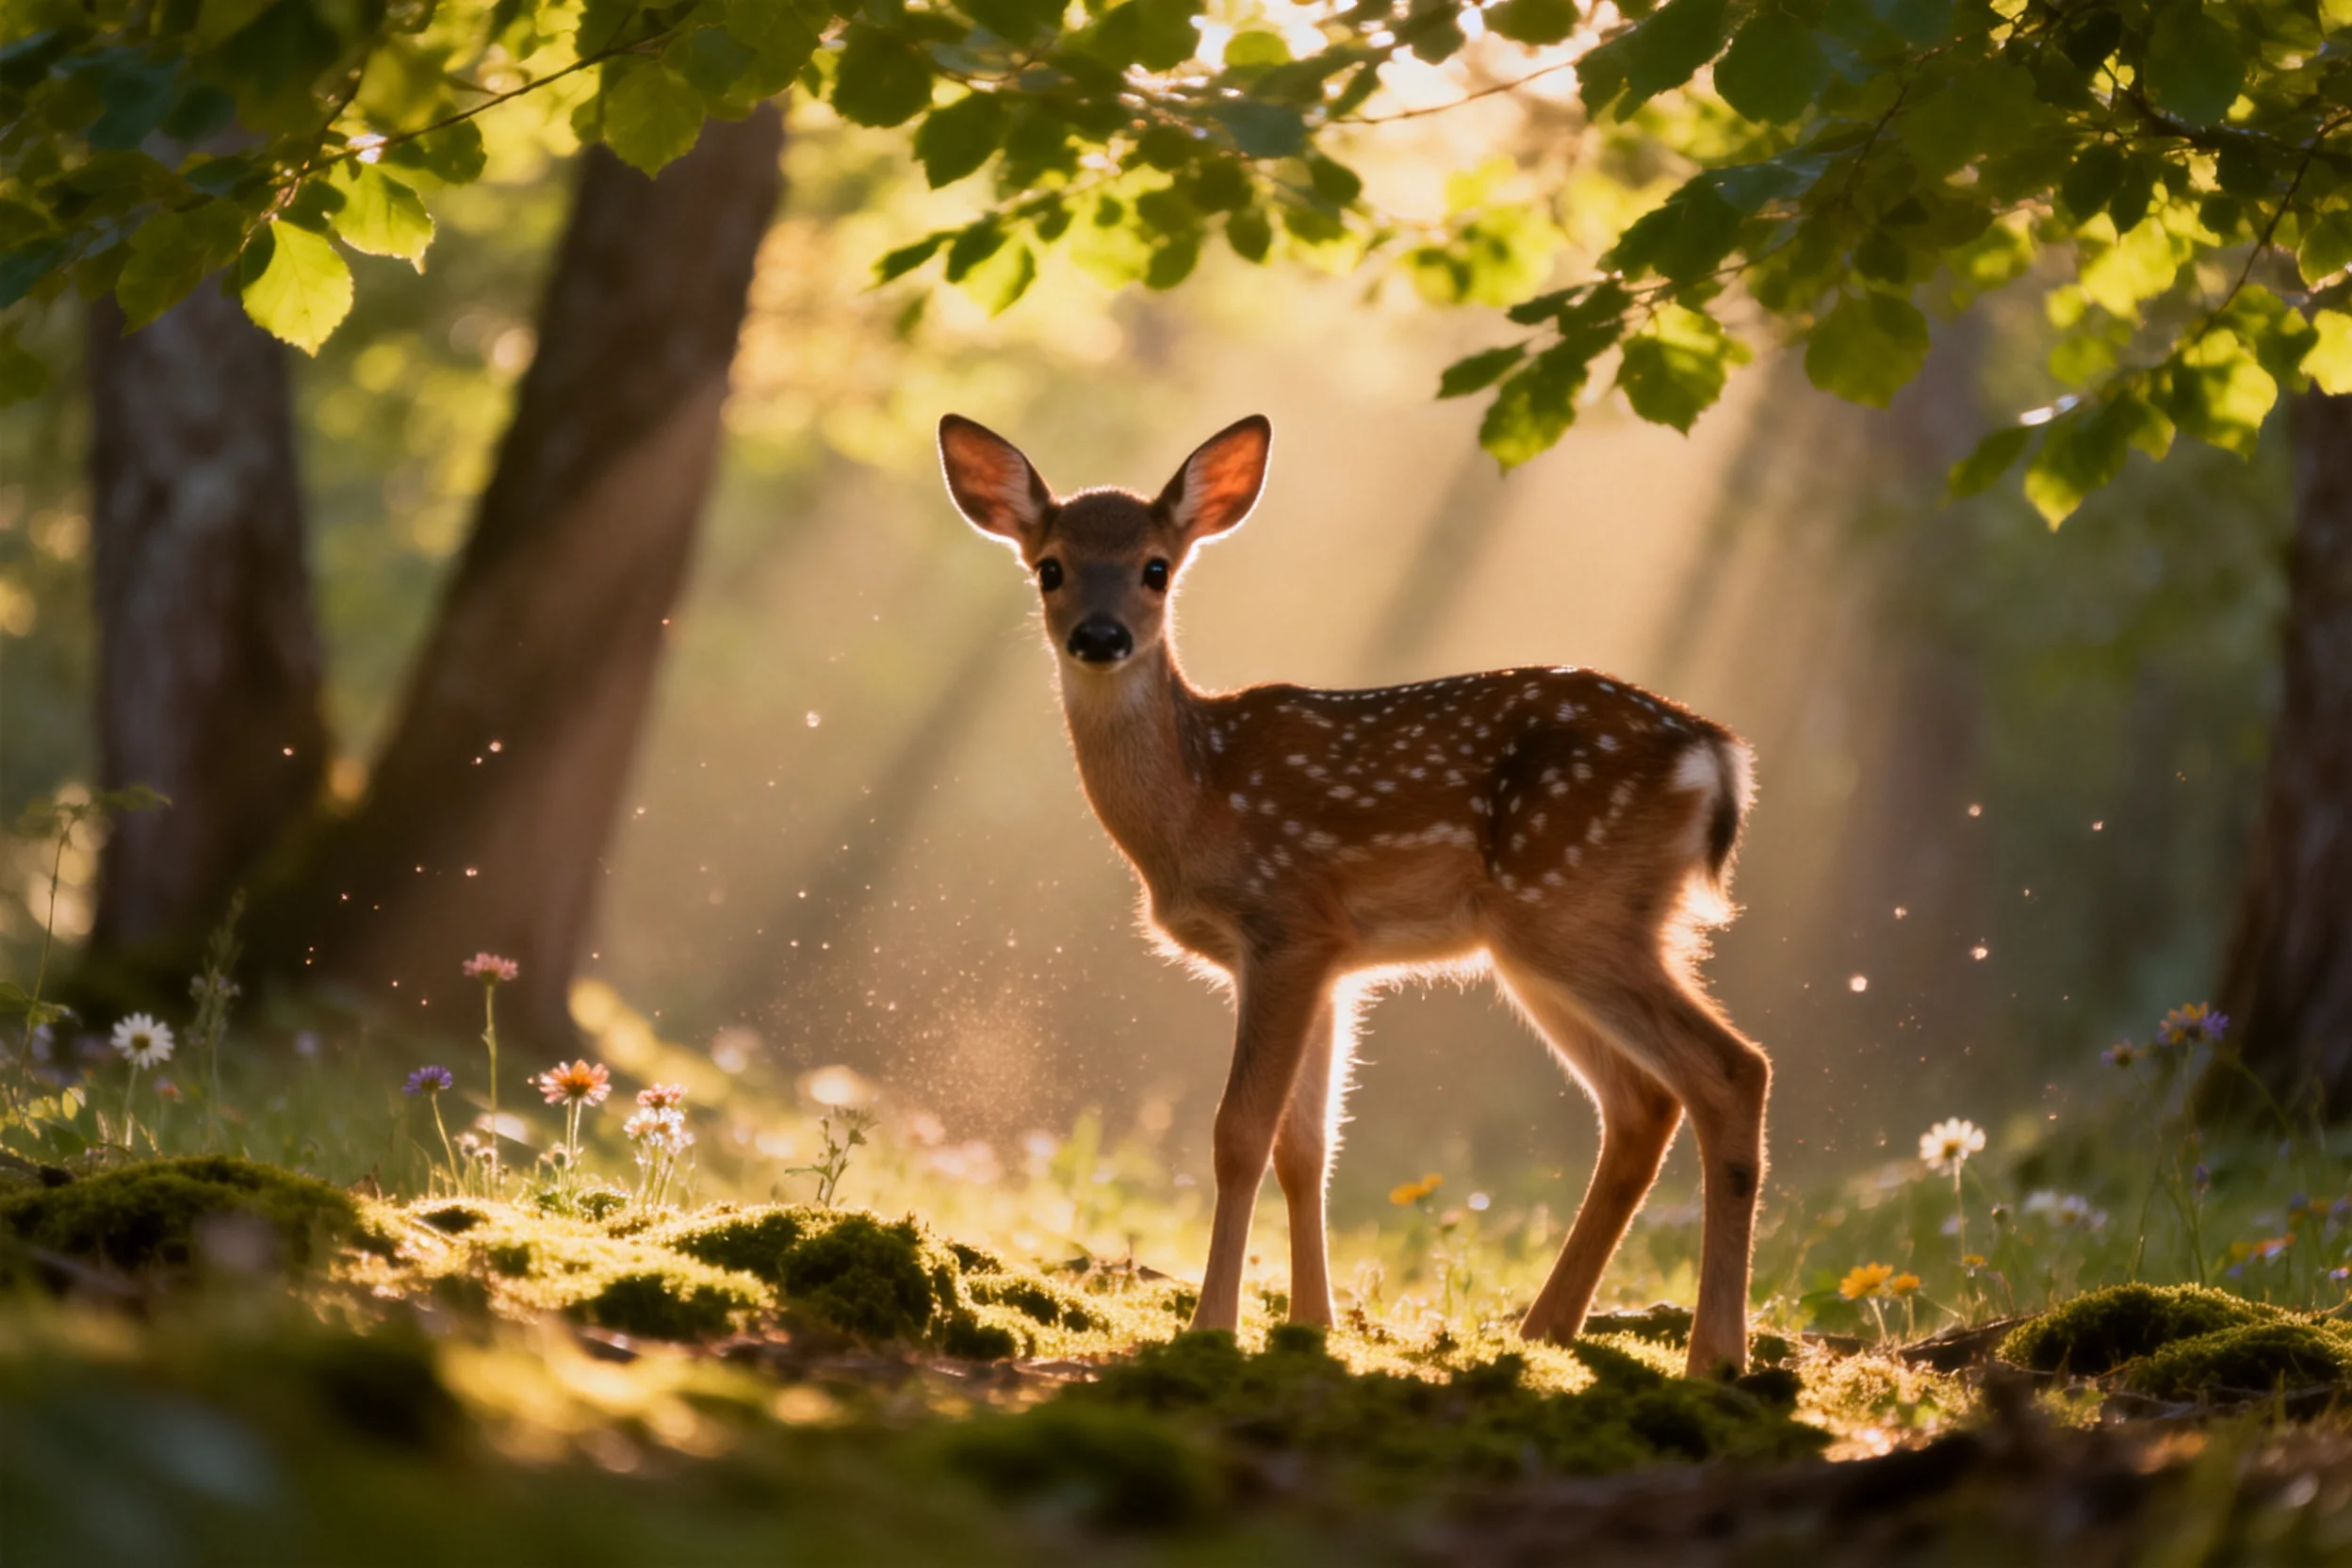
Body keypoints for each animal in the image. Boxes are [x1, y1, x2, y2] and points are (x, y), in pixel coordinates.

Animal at [938, 412, 1769, 1376]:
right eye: (1051, 566)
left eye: (1156, 567)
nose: (1101, 637)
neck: (1195, 798)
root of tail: (1717, 755)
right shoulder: (1332, 961)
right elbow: (1308, 1146)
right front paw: (1312, 1323)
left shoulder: (1285, 924)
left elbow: (1238, 1134)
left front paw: (1212, 1326)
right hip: (1556, 941)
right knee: (1643, 1104)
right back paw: (1542, 1331)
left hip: (1571, 905)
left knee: (1732, 1070)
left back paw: (1714, 1357)